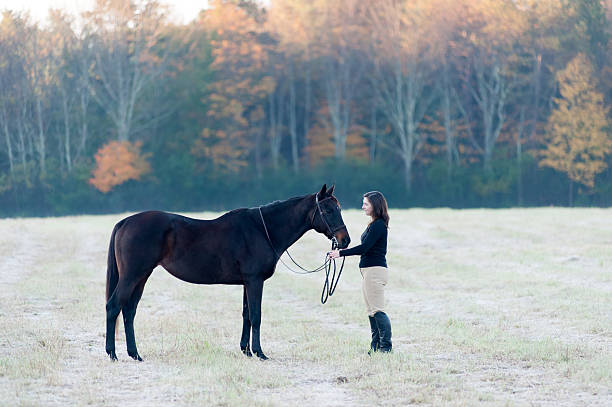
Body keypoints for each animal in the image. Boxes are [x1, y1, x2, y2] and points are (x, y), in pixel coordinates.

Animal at [105, 185, 350, 360]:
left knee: (129, 311)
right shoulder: (255, 281)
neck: (263, 230)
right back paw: (113, 354)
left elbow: (246, 315)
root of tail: (125, 222)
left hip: (141, 277)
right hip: (132, 276)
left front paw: (246, 351)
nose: (345, 240)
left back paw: (135, 354)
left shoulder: (247, 282)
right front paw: (260, 353)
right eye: (327, 210)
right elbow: (256, 315)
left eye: (339, 208)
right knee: (114, 306)